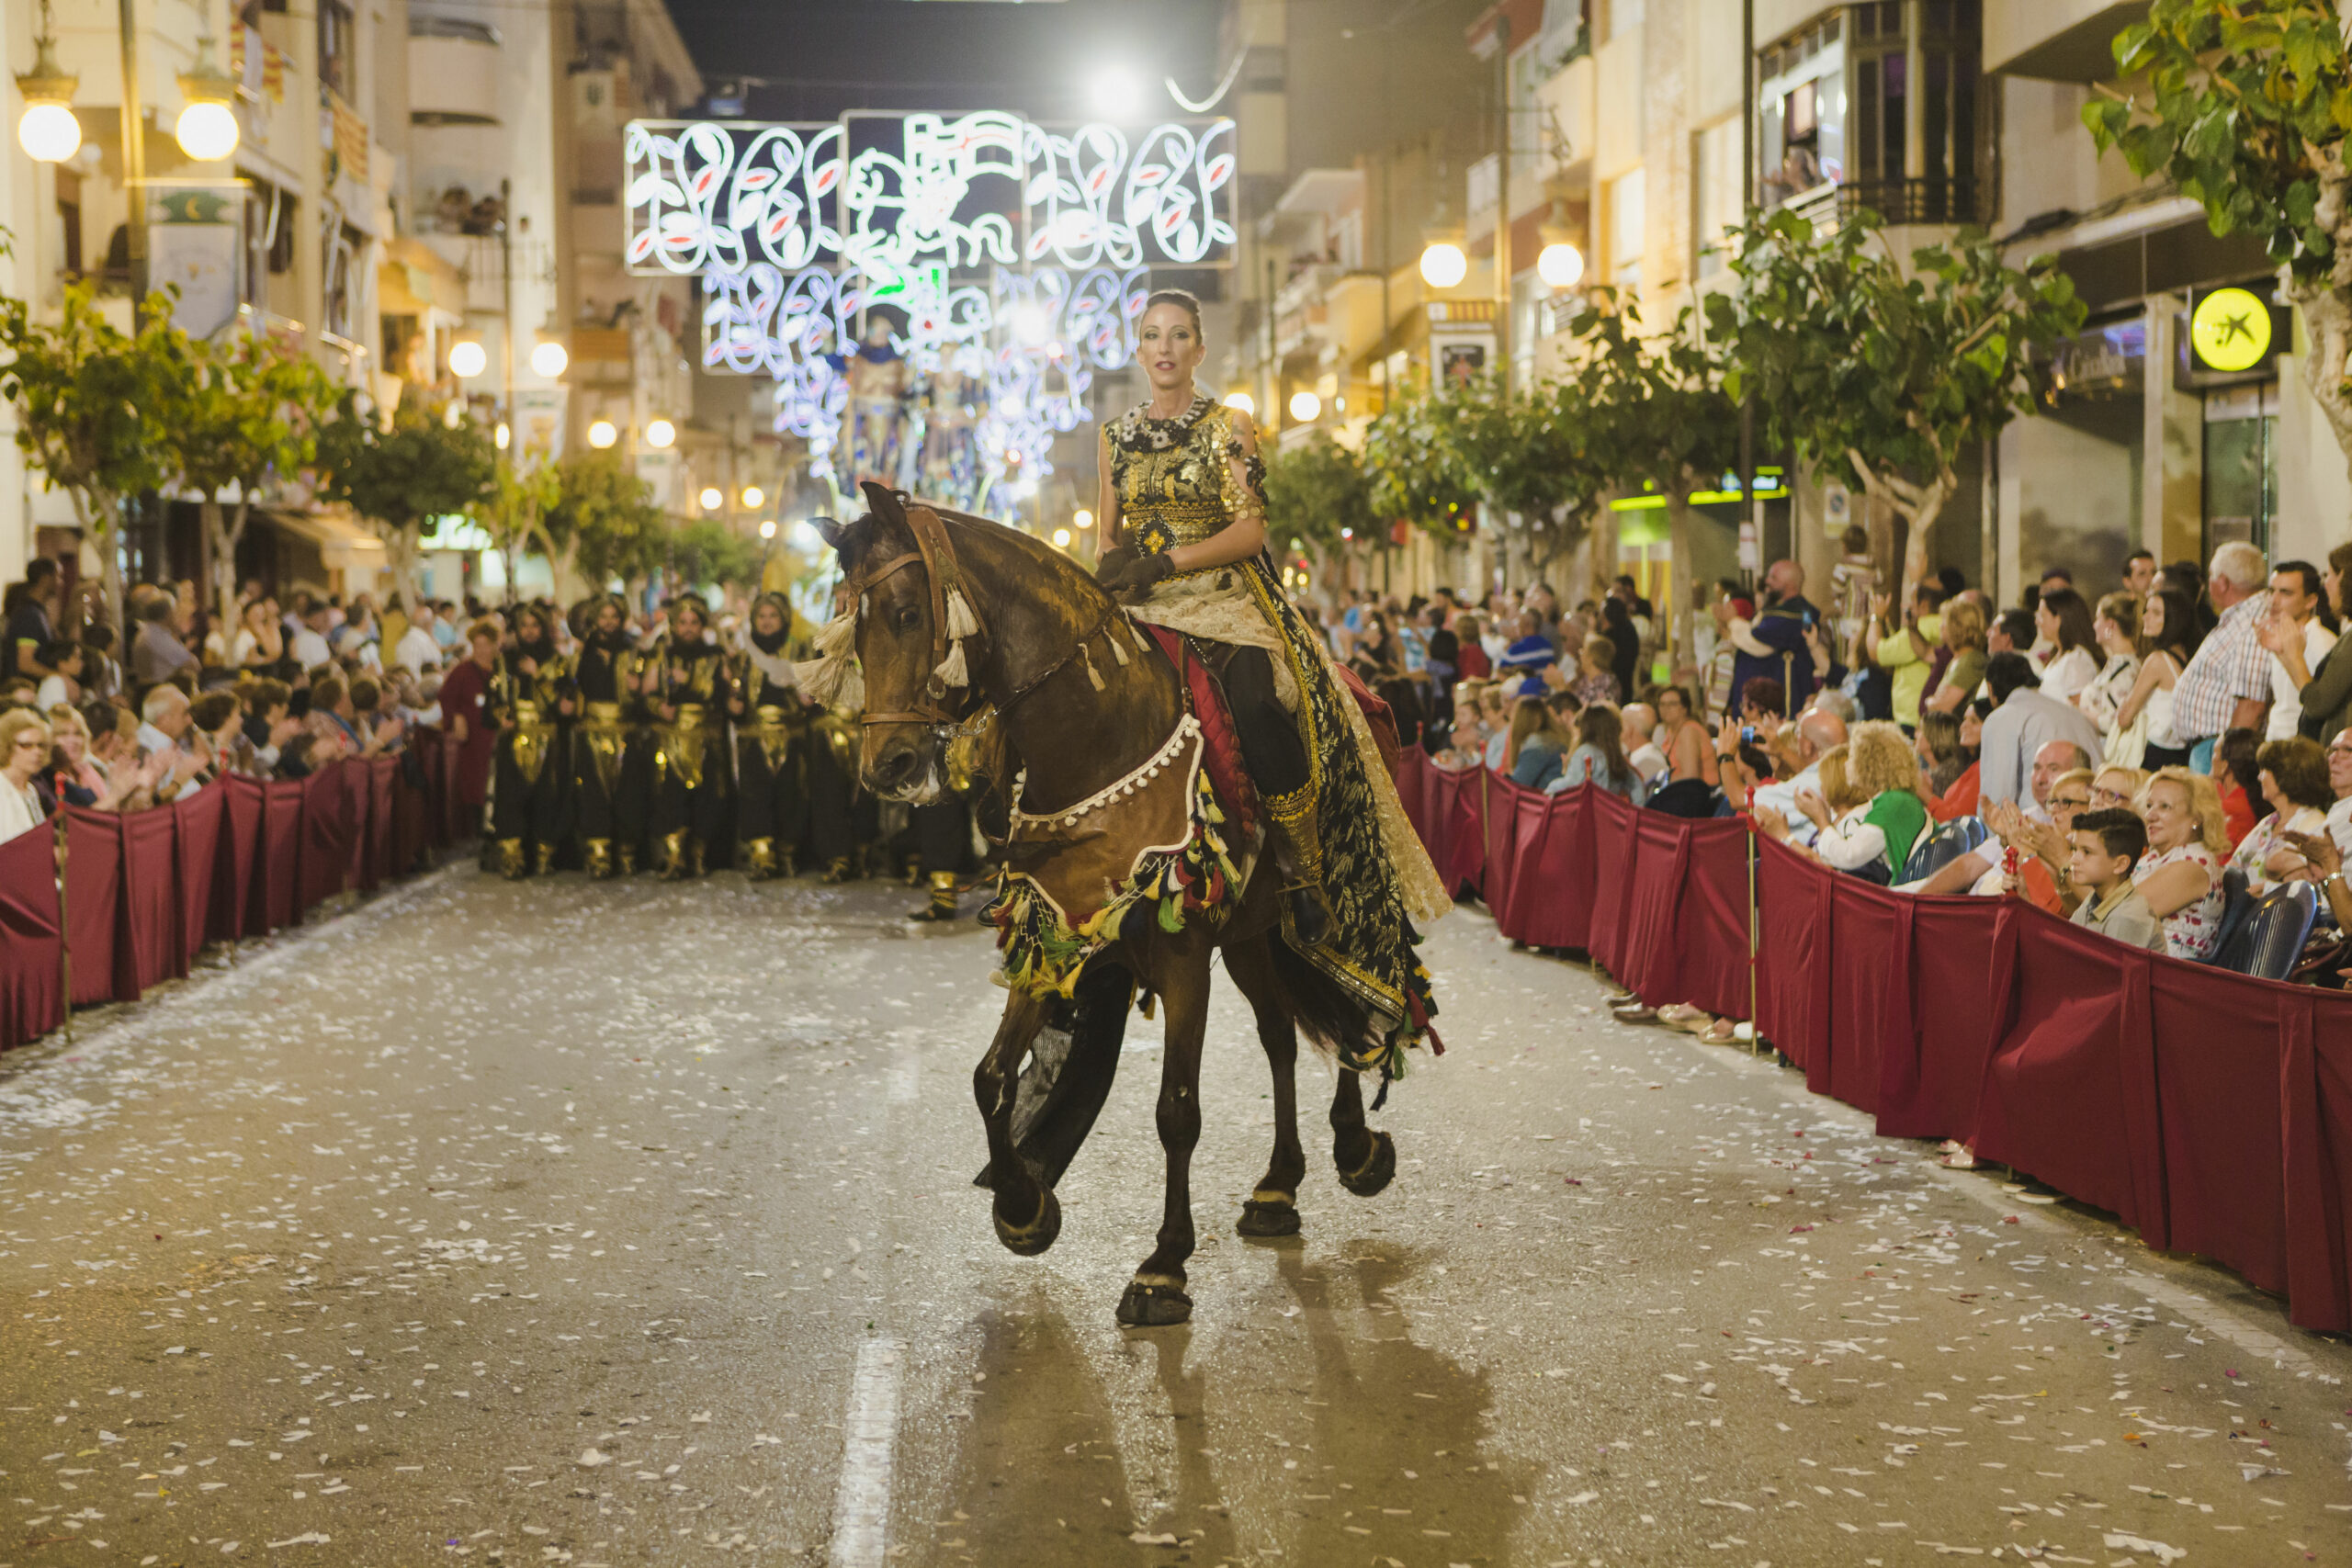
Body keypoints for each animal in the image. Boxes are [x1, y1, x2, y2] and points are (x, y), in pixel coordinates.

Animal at [823, 484, 1392, 1335]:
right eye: (851, 625)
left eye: (906, 612)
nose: (885, 766)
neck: (1097, 736)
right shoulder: (1055, 933)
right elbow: (992, 1078)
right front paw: (1024, 1205)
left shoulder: (1183, 957)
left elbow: (1176, 1110)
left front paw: (1162, 1267)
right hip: (1250, 935)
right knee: (1280, 1034)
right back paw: (1278, 1185)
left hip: (1297, 921)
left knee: (1342, 1015)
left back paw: (1355, 1147)